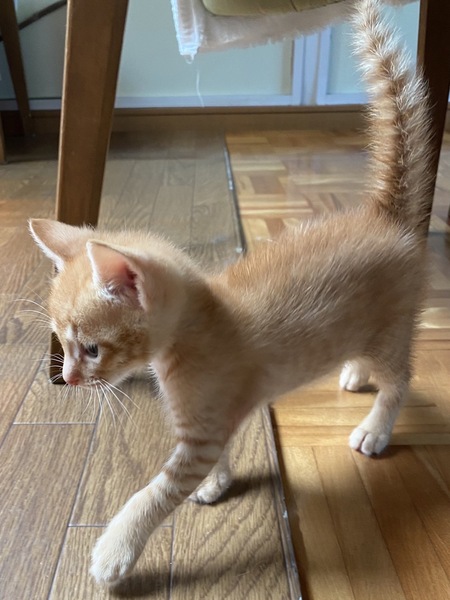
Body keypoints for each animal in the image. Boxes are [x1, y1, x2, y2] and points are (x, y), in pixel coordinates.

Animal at [29, 0, 432, 587]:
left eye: (93, 349)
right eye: (61, 342)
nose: (70, 379)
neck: (195, 332)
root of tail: (385, 217)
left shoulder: (201, 431)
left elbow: (154, 493)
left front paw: (115, 549)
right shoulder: (210, 423)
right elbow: (215, 457)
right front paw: (216, 483)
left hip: (393, 327)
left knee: (401, 378)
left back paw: (376, 426)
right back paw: (355, 373)